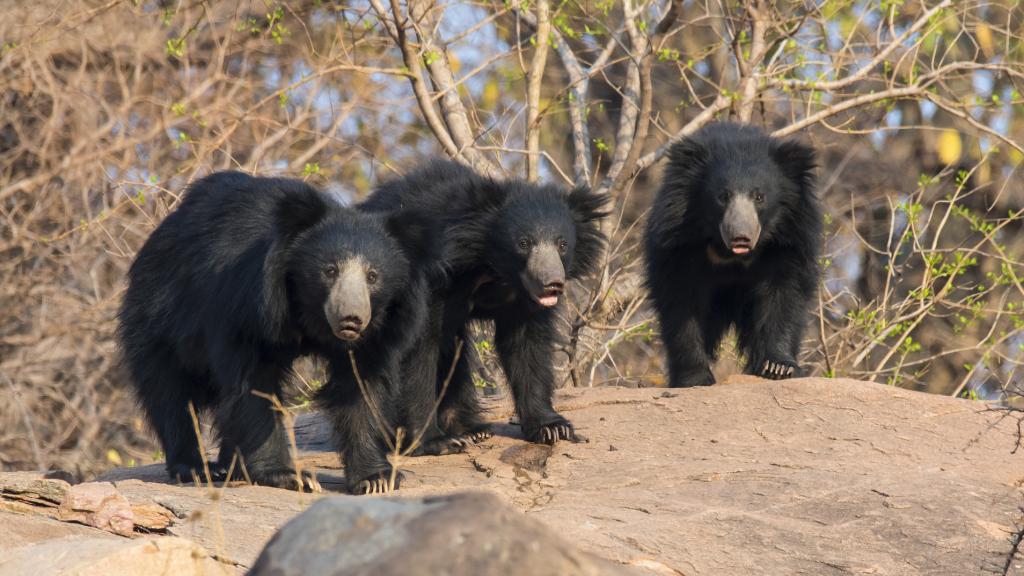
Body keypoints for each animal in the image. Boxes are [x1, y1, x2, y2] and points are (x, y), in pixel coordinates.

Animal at [117, 171, 436, 494]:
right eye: (329, 271)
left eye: (373, 276)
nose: (352, 320)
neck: (308, 312)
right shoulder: (248, 308)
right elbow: (255, 384)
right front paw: (291, 476)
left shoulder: (378, 335)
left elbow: (361, 388)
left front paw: (376, 479)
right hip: (161, 313)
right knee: (169, 390)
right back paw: (195, 467)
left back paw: (232, 466)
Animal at [359, 159, 608, 451]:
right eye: (524, 243)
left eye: (562, 244)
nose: (552, 284)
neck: (492, 266)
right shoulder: (433, 282)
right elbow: (418, 349)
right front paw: (433, 441)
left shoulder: (524, 300)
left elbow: (528, 347)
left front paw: (551, 427)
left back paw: (472, 429)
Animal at [643, 122, 821, 388]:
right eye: (722, 196)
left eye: (759, 196)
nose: (741, 237)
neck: (730, 254)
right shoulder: (678, 246)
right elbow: (682, 303)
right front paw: (694, 377)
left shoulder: (788, 243)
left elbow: (783, 296)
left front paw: (778, 367)